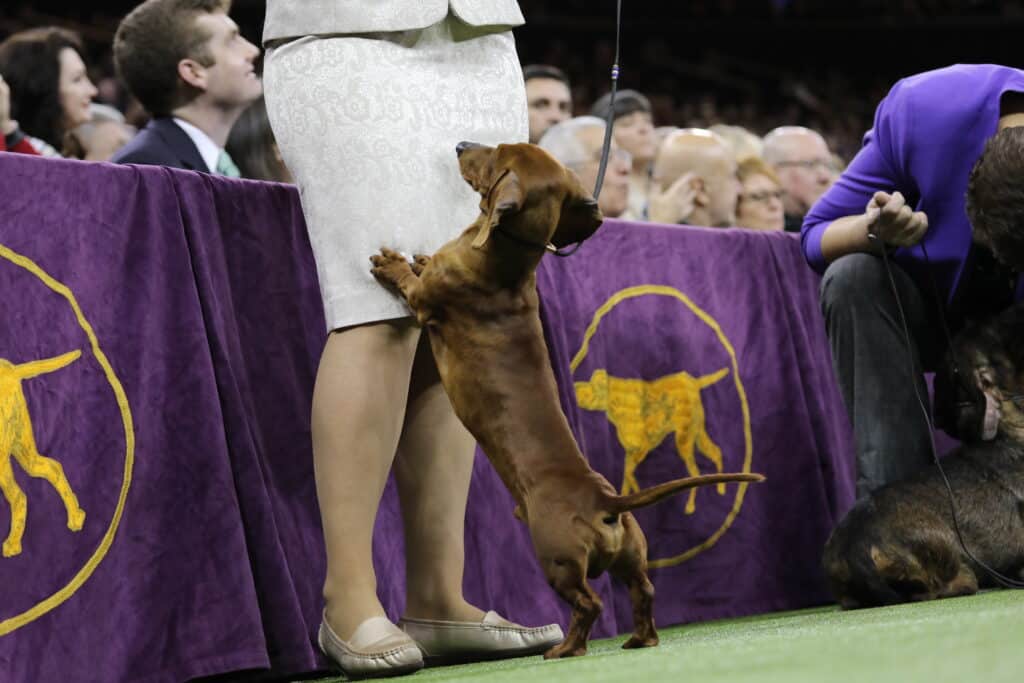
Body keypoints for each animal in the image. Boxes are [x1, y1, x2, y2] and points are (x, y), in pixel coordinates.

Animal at [372, 143, 765, 655]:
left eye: (495, 154)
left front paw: (392, 262)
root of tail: (604, 499)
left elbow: (411, 283)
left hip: (555, 558)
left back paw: (565, 649)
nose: (459, 145)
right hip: (630, 557)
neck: (507, 259)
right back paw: (639, 640)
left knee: (589, 604)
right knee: (644, 590)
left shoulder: (425, 301)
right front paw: (418, 256)